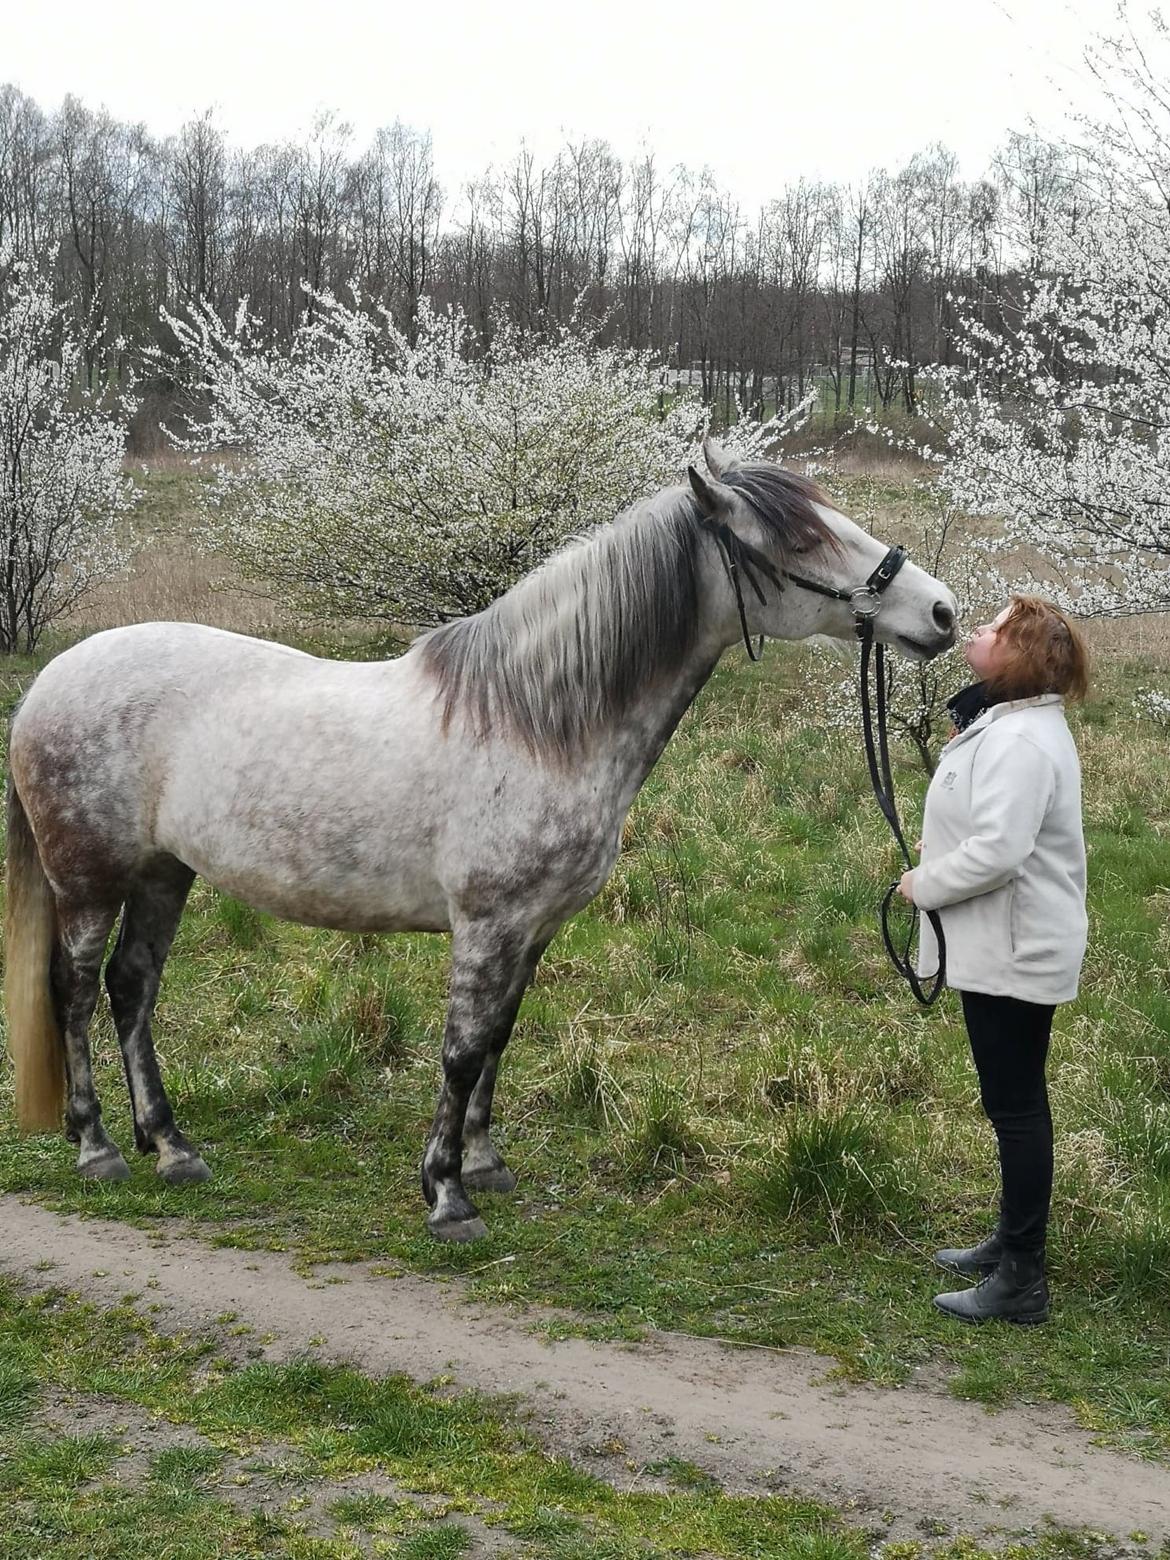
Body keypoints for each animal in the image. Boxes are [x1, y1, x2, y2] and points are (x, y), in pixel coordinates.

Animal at [4, 443, 954, 1241]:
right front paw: (447, 1195)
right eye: (801, 534)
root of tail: (51, 680)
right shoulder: (488, 925)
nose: (941, 611)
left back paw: (172, 1146)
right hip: (88, 879)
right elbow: (461, 1052)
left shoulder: (533, 927)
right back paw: (98, 1148)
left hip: (165, 873)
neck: (538, 723)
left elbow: (498, 1037)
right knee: (76, 992)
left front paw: (486, 1165)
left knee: (132, 989)